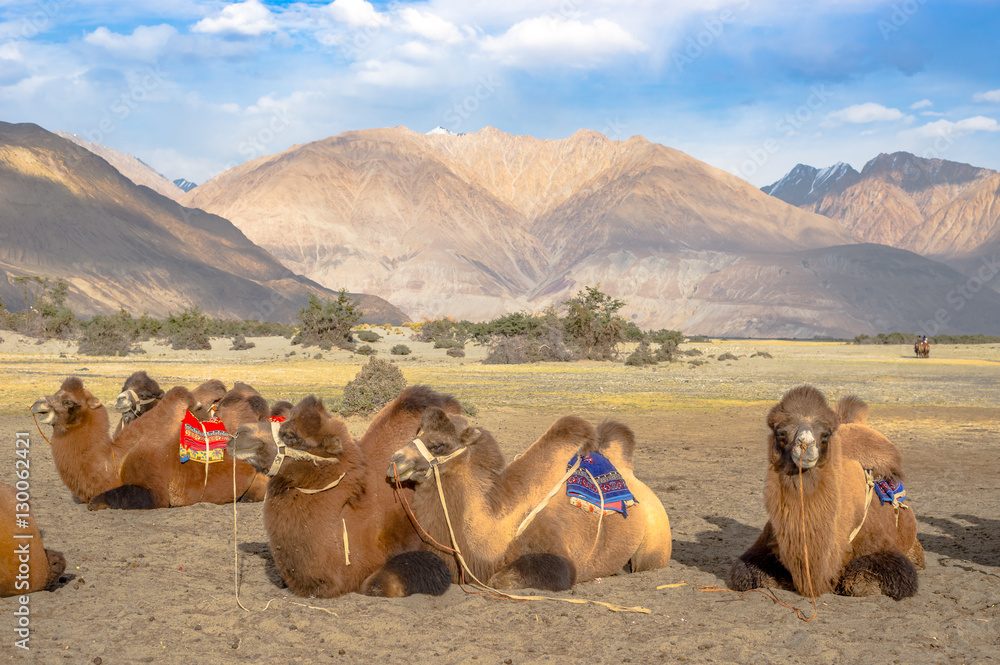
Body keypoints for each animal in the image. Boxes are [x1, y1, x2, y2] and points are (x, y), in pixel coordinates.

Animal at [388, 409, 673, 591]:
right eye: (417, 432)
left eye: (438, 444)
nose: (395, 460)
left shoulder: (559, 553)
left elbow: (498, 580)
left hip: (655, 544)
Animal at [729, 386, 924, 600]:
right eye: (780, 433)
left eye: (825, 436)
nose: (805, 445)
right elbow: (746, 574)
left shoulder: (884, 549)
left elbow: (864, 582)